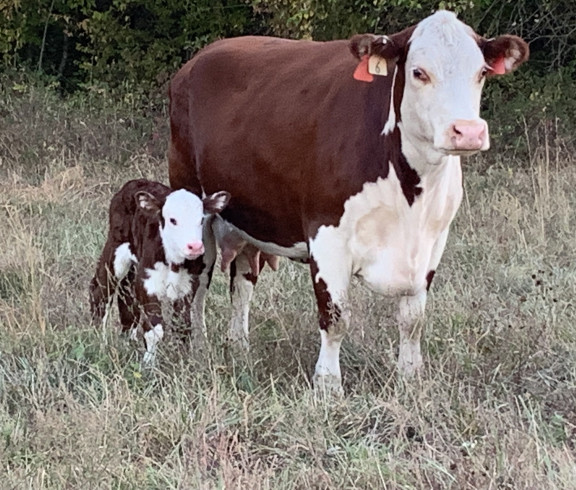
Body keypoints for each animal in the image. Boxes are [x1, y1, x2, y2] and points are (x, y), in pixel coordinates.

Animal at [89, 180, 228, 364]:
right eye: (172, 220)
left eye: (200, 220)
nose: (195, 246)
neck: (173, 261)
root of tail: (134, 182)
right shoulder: (149, 282)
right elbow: (154, 329)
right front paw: (149, 363)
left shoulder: (188, 285)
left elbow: (182, 326)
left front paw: (183, 361)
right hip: (116, 248)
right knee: (101, 290)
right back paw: (99, 340)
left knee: (127, 294)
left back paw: (128, 339)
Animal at [165, 10, 528, 394]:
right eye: (419, 72)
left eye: (482, 72)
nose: (468, 131)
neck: (411, 191)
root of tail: (200, 58)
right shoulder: (327, 235)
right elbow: (335, 317)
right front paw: (328, 385)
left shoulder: (434, 241)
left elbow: (413, 319)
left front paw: (410, 376)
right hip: (193, 206)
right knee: (196, 282)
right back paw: (196, 347)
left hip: (251, 217)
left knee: (243, 283)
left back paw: (239, 346)